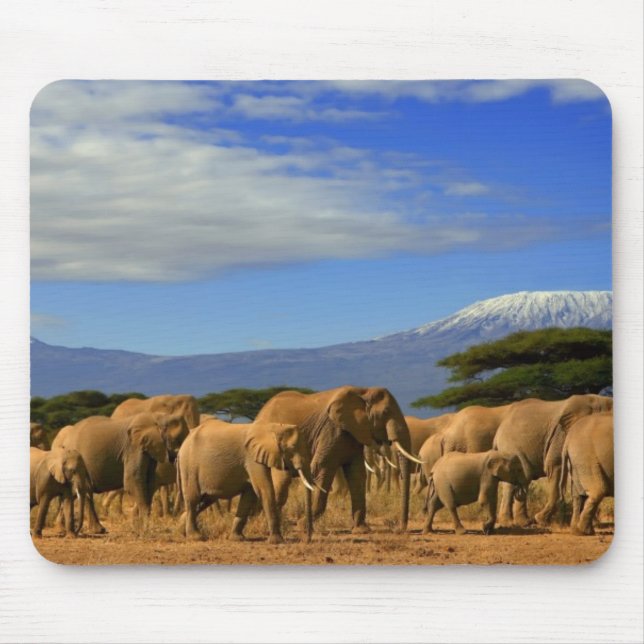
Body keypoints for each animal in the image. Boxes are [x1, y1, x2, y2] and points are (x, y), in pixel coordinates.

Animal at [177, 418, 315, 543]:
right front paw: (277, 541)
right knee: (193, 499)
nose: (307, 539)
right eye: (292, 448)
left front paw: (237, 539)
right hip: (189, 466)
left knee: (205, 500)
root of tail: (183, 444)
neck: (273, 427)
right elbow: (264, 490)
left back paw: (181, 531)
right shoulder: (252, 458)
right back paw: (196, 537)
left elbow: (249, 496)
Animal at [255, 386, 418, 533]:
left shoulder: (353, 434)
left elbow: (357, 474)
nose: (399, 529)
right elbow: (322, 469)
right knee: (281, 483)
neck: (363, 391)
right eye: (385, 412)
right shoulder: (332, 431)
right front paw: (303, 526)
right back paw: (266, 526)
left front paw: (361, 530)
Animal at [493, 394, 613, 527]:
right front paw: (540, 520)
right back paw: (509, 523)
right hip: (509, 446)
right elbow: (555, 466)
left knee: (524, 478)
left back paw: (524, 522)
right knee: (513, 480)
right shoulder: (561, 435)